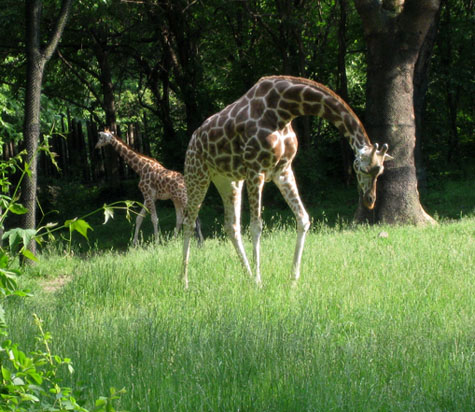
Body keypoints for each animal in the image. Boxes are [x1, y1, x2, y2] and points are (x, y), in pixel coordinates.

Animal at [182, 75, 394, 286]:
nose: (370, 200)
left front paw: (293, 279)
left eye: (381, 171)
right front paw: (259, 282)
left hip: (228, 180)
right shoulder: (255, 170)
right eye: (363, 169)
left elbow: (303, 218)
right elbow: (256, 226)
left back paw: (247, 275)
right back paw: (184, 281)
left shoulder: (283, 171)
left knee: (231, 226)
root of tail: (193, 139)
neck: (283, 110)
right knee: (189, 222)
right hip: (196, 174)